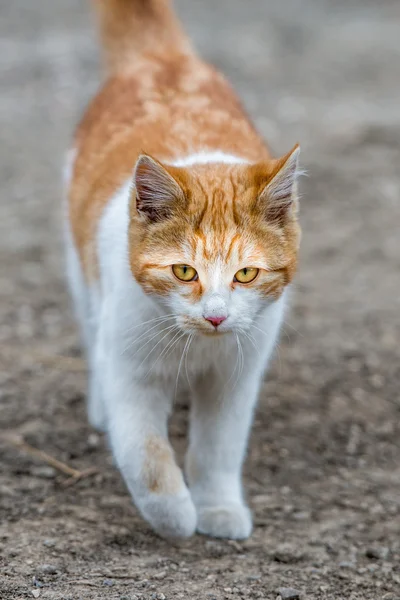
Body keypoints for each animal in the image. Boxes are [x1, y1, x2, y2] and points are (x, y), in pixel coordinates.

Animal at [65, 0, 304, 540]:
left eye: (245, 275)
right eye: (183, 272)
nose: (215, 316)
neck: (198, 347)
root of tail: (159, 57)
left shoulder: (236, 377)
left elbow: (218, 449)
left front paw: (217, 508)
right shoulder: (132, 373)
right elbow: (145, 454)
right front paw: (173, 515)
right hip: (82, 270)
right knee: (91, 331)